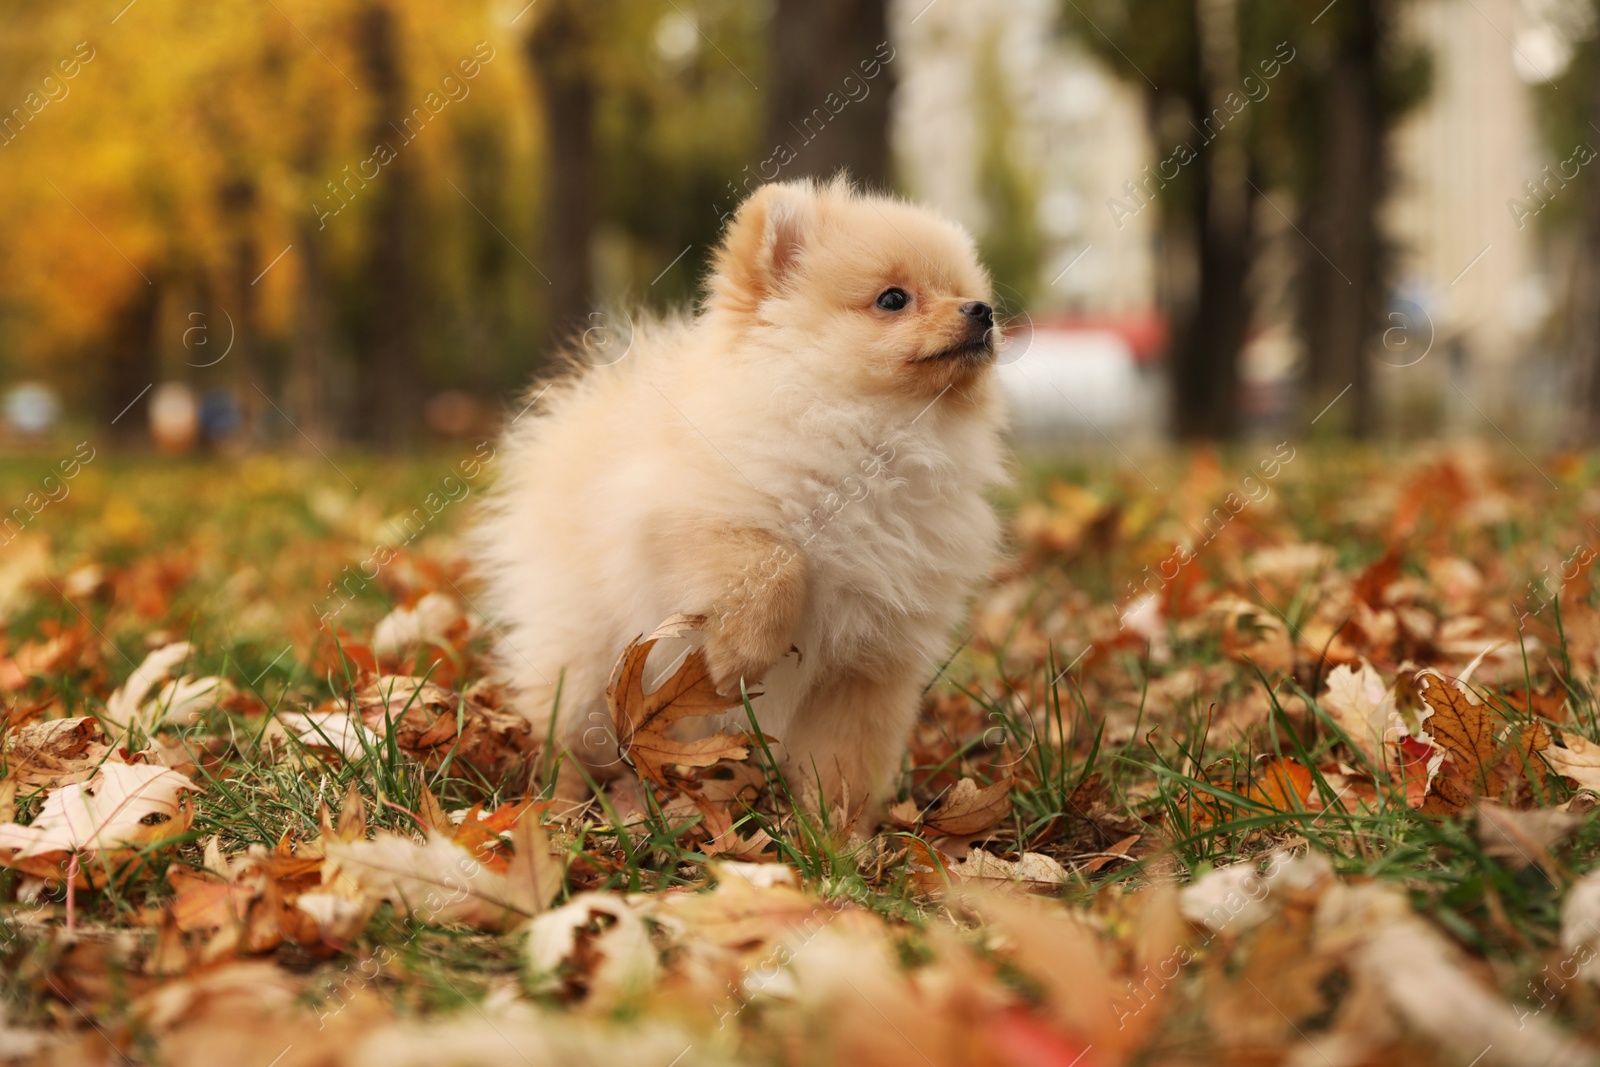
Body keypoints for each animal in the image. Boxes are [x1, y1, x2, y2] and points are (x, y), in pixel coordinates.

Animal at [467, 177, 1004, 809]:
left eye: (967, 293)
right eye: (893, 299)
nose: (983, 311)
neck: (880, 441)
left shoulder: (869, 668)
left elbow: (844, 766)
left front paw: (835, 832)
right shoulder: (675, 519)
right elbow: (777, 562)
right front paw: (739, 660)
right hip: (583, 650)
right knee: (565, 726)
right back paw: (562, 801)